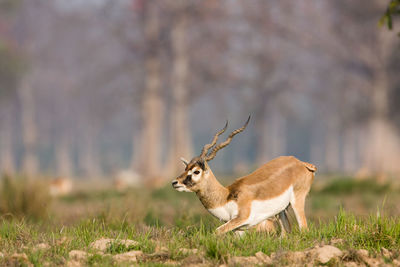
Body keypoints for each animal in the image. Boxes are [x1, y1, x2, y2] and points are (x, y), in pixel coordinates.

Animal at [171, 117, 316, 237]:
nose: (174, 182)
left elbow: (216, 231)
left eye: (196, 171)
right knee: (286, 232)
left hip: (297, 200)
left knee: (304, 229)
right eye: (186, 168)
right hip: (282, 210)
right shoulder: (239, 229)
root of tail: (300, 162)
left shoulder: (241, 219)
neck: (225, 197)